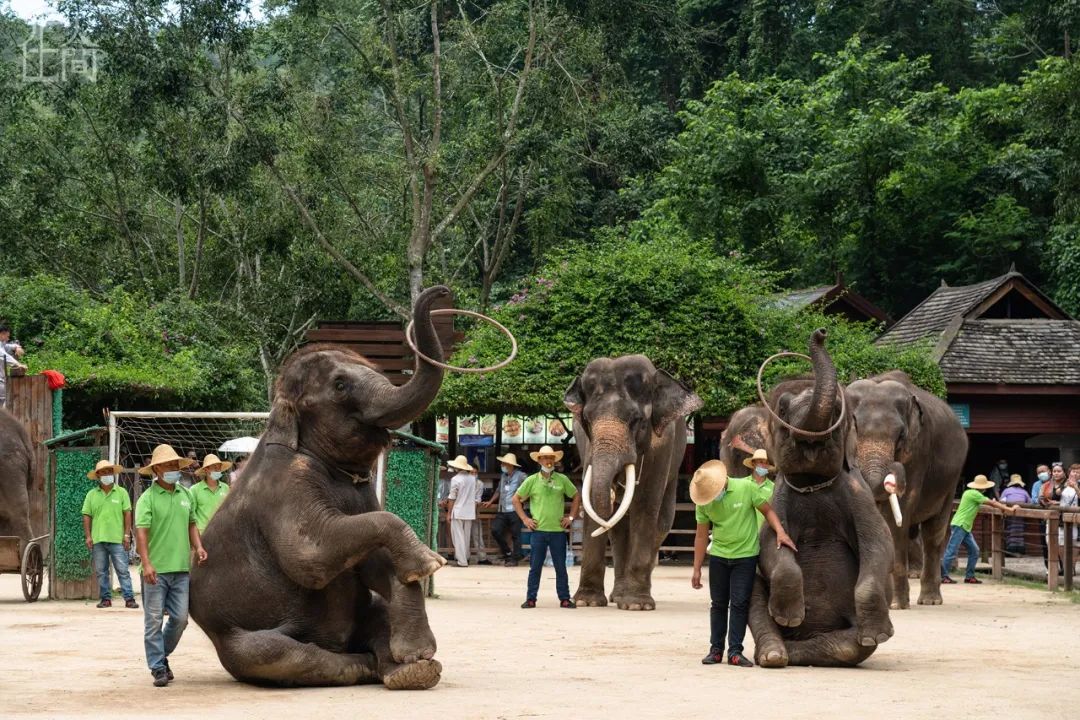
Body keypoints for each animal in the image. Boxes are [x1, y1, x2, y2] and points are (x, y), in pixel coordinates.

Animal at [189, 287, 450, 690]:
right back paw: (366, 666)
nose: (442, 293)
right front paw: (429, 563)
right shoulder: (284, 485)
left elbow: (372, 565)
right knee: (276, 653)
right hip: (234, 640)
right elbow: (311, 556)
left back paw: (411, 672)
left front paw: (414, 585)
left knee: (375, 615)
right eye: (340, 385)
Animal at [564, 355, 703, 611]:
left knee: (662, 522)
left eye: (636, 420)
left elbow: (646, 504)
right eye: (586, 420)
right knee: (618, 528)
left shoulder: (662, 445)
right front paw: (587, 602)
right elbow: (596, 507)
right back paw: (617, 596)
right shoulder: (587, 446)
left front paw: (637, 605)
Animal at [748, 329, 894, 668]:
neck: (814, 484)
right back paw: (774, 653)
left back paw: (798, 651)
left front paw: (879, 634)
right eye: (783, 410)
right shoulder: (780, 495)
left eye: (839, 411)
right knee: (754, 594)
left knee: (852, 646)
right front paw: (789, 616)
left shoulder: (858, 494)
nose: (821, 332)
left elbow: (880, 543)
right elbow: (770, 546)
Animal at [845, 371, 968, 608]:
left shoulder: (918, 452)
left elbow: (898, 514)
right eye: (854, 427)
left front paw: (894, 605)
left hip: (951, 482)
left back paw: (930, 601)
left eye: (901, 436)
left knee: (933, 533)